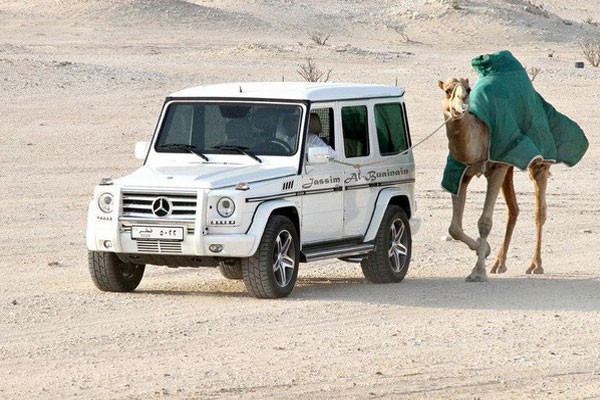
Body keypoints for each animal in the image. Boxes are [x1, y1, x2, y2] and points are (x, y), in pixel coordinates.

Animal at [436, 78, 548, 282]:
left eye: (468, 90)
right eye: (447, 90)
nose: (461, 106)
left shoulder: (496, 169)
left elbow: (485, 222)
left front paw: (478, 271)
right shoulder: (461, 174)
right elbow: (454, 228)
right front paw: (485, 249)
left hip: (538, 164)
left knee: (539, 210)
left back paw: (535, 265)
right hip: (509, 168)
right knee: (513, 209)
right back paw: (499, 263)